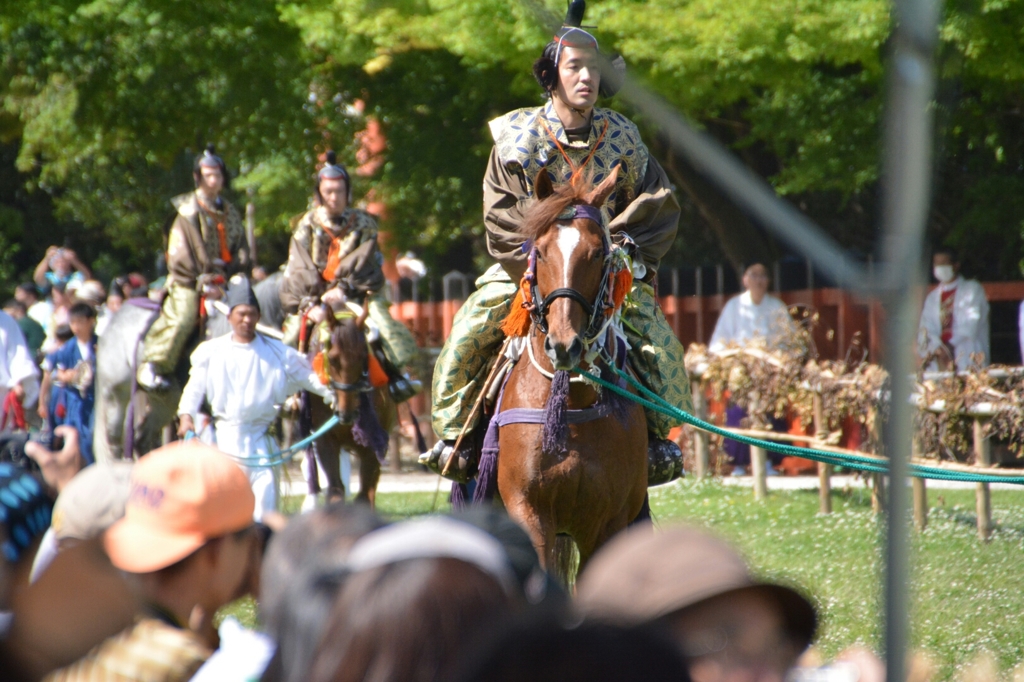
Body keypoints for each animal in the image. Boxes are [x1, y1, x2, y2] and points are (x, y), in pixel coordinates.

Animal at [301, 301, 393, 503]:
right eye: (333, 359)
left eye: (363, 356)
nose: (347, 413)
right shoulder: (325, 442)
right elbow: (336, 490)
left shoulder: (373, 445)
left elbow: (365, 495)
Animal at [489, 166, 647, 577]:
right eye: (541, 252)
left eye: (597, 253)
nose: (564, 345)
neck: (572, 403)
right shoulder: (529, 511)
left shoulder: (608, 522)